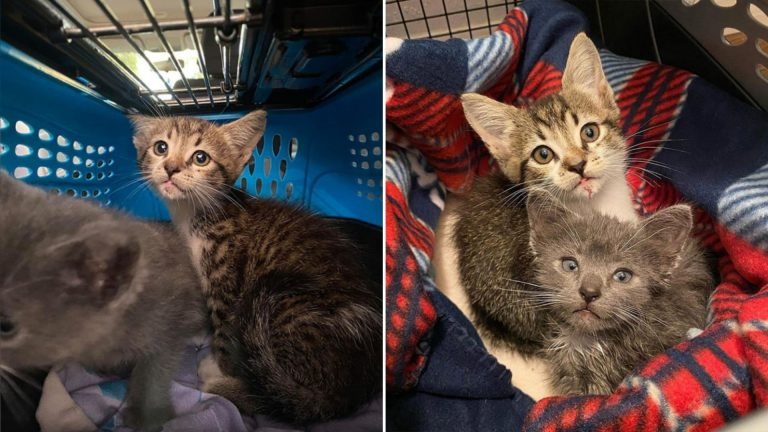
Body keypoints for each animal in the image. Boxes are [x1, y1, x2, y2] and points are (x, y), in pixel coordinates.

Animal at [131, 109, 384, 424]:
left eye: (201, 157)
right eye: (160, 148)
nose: (170, 168)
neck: (194, 214)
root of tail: (355, 389)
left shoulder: (227, 282)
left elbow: (224, 331)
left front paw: (219, 366)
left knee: (273, 398)